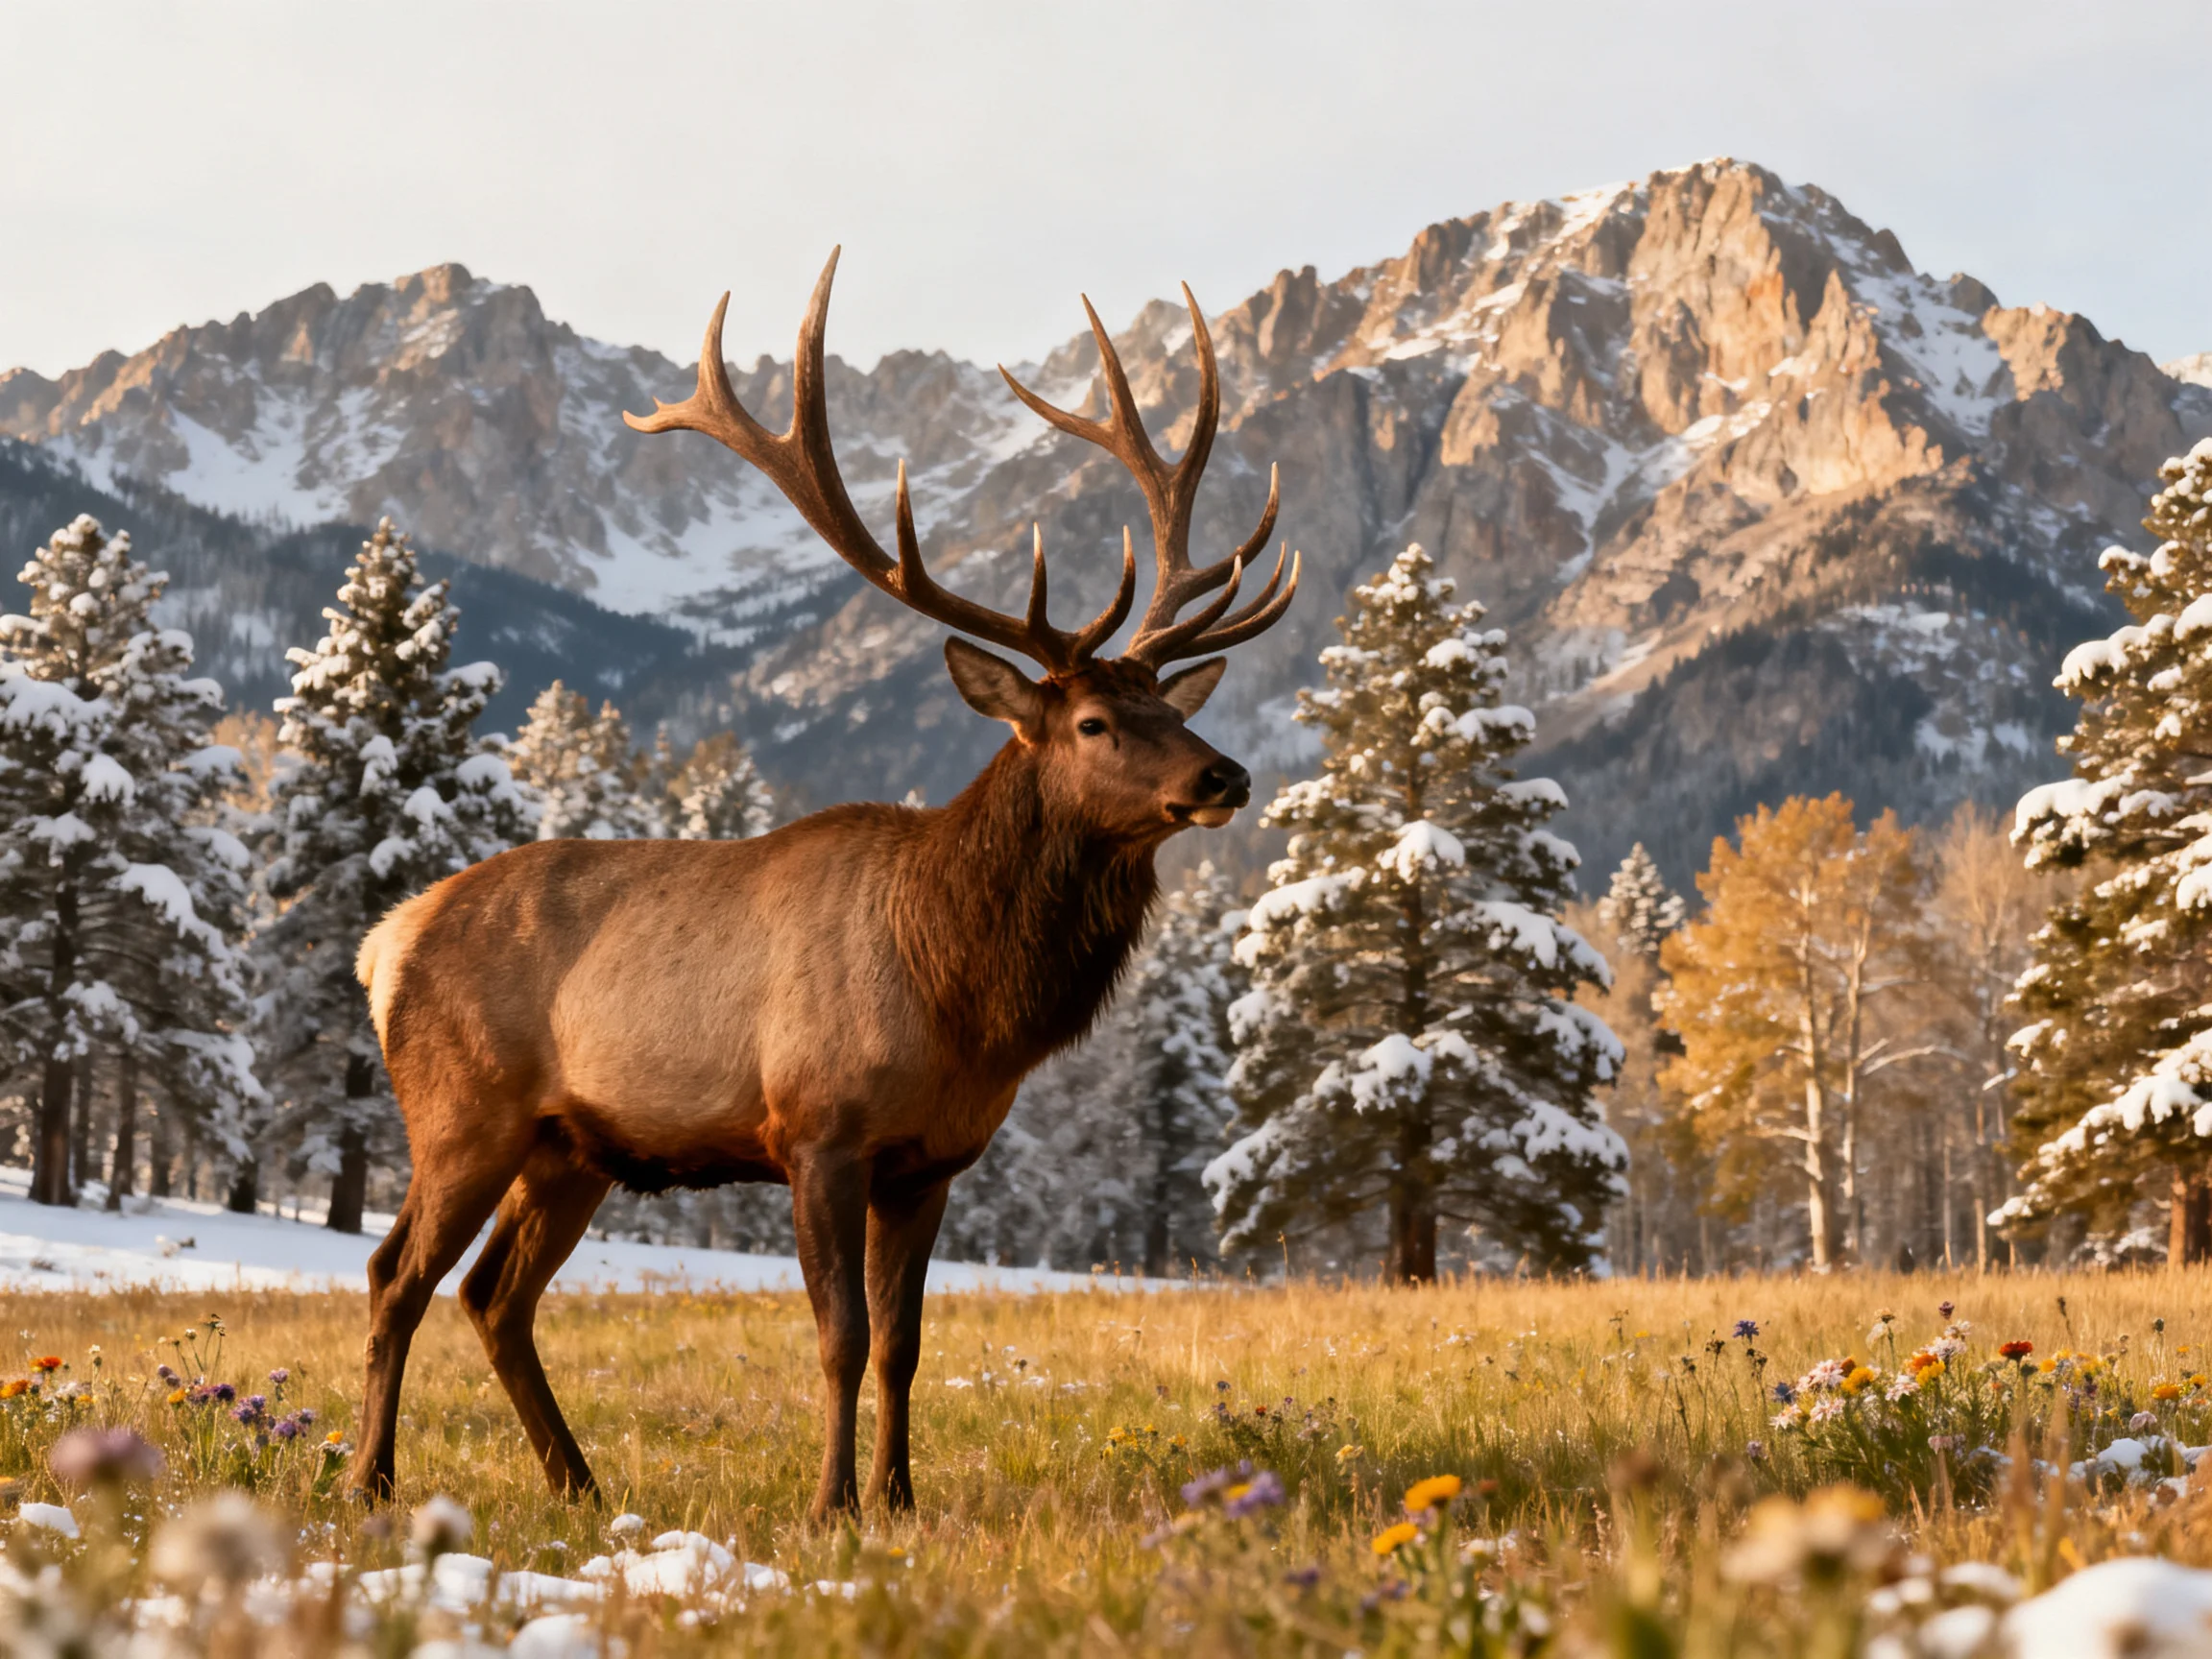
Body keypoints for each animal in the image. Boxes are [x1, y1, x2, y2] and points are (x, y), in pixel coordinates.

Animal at [345, 249, 1298, 1519]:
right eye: (1095, 721)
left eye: (1167, 705)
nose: (1224, 773)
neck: (961, 997)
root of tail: (387, 941)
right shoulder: (818, 1132)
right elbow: (840, 1335)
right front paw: (833, 1504)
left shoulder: (932, 1161)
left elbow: (904, 1343)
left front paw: (900, 1500)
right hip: (461, 1111)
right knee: (395, 1273)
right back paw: (370, 1479)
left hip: (567, 1147)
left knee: (494, 1293)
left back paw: (579, 1483)